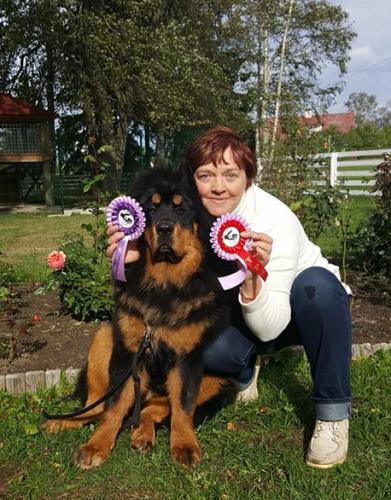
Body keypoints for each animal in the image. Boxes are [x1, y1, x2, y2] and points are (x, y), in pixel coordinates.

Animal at [43, 169, 239, 468]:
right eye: (152, 209)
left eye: (182, 209)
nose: (165, 228)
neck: (164, 283)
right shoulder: (129, 350)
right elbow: (114, 406)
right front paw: (97, 445)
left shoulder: (186, 356)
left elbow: (182, 406)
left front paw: (184, 444)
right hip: (104, 339)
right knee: (98, 405)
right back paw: (65, 422)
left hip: (219, 382)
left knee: (154, 408)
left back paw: (143, 435)